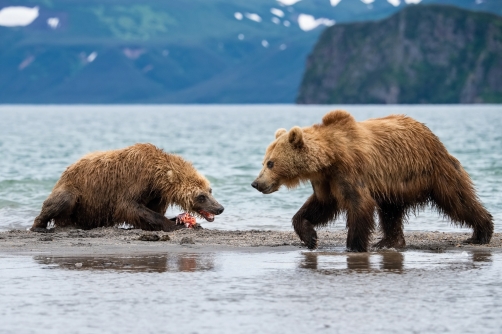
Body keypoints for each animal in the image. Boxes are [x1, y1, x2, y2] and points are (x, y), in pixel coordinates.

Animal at [32, 144, 225, 232]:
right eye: (201, 196)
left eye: (210, 190)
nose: (219, 208)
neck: (156, 178)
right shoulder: (135, 181)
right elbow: (129, 207)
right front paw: (173, 225)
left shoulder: (156, 194)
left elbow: (153, 211)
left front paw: (182, 221)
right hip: (74, 189)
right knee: (62, 200)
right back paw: (39, 225)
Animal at [251, 111, 494, 252]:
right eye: (264, 161)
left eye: (270, 163)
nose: (256, 183)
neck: (329, 158)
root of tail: (429, 133)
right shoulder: (325, 180)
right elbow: (320, 205)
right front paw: (310, 237)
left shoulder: (350, 170)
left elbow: (360, 204)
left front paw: (354, 246)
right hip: (395, 184)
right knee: (391, 211)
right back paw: (390, 242)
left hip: (432, 170)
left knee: (458, 199)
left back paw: (481, 233)